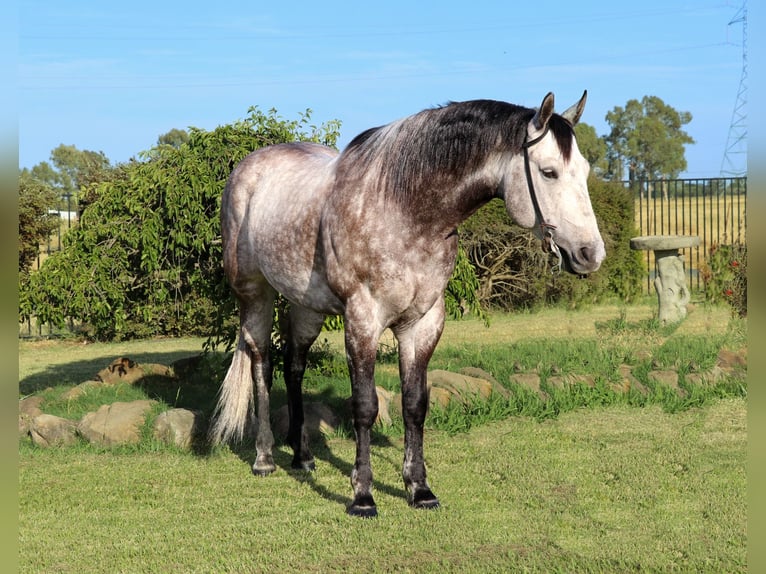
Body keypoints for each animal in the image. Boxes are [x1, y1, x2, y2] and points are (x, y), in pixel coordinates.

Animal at [210, 92, 608, 520]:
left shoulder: (424, 323)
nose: (590, 254)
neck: (406, 209)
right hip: (255, 295)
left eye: (585, 171)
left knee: (294, 366)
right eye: (549, 172)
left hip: (306, 306)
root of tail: (249, 167)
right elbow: (364, 407)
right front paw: (362, 496)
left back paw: (302, 457)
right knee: (261, 363)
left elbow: (415, 405)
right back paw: (265, 458)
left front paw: (419, 489)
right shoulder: (363, 320)